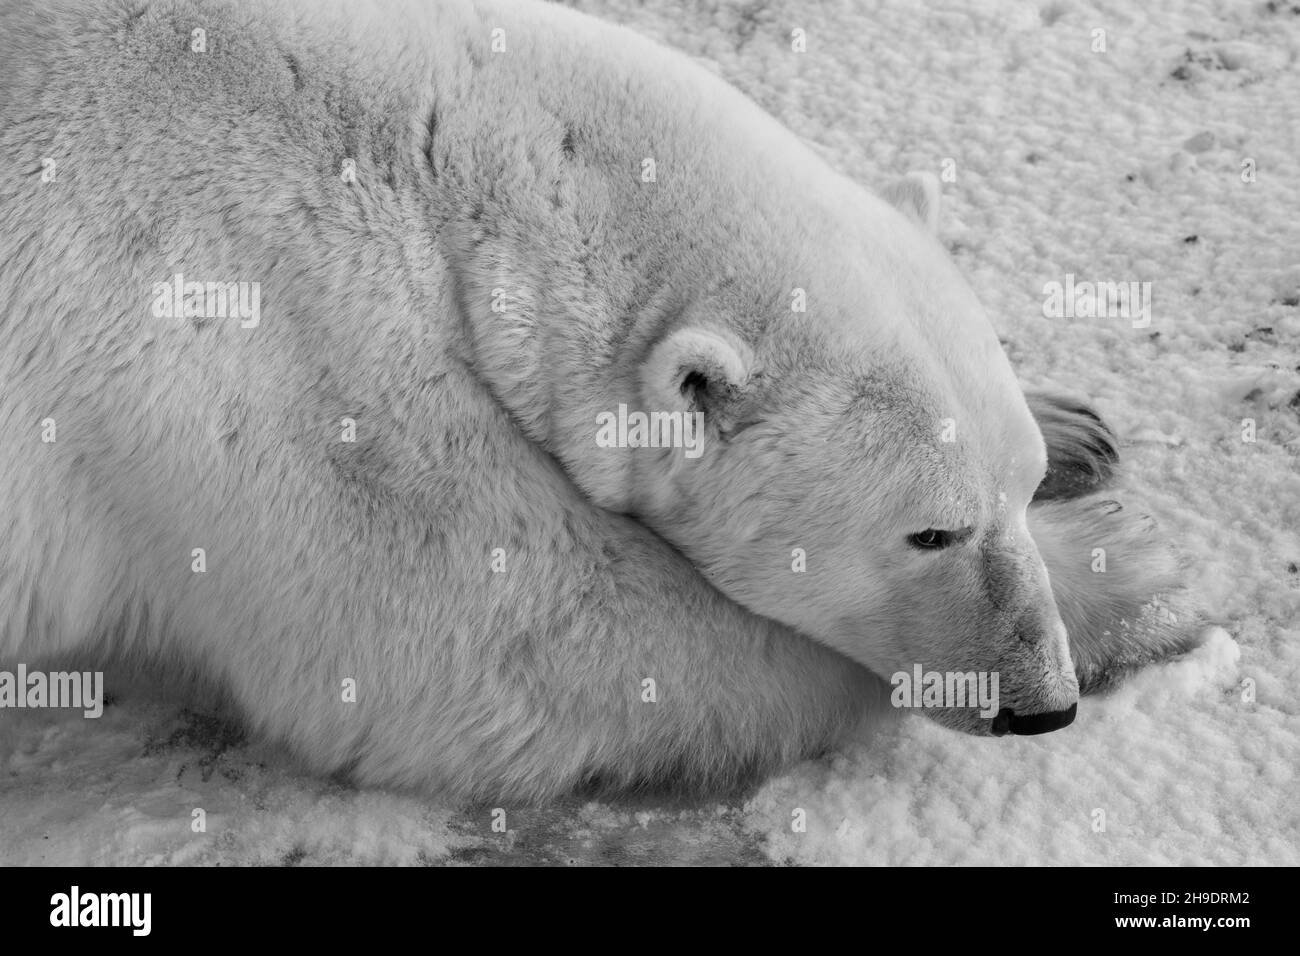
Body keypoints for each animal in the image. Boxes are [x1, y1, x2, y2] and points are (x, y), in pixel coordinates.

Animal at [0, 0, 1190, 796]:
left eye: (1011, 488)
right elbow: (495, 644)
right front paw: (1125, 575)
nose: (1041, 705)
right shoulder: (278, 355)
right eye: (929, 531)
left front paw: (1076, 431)